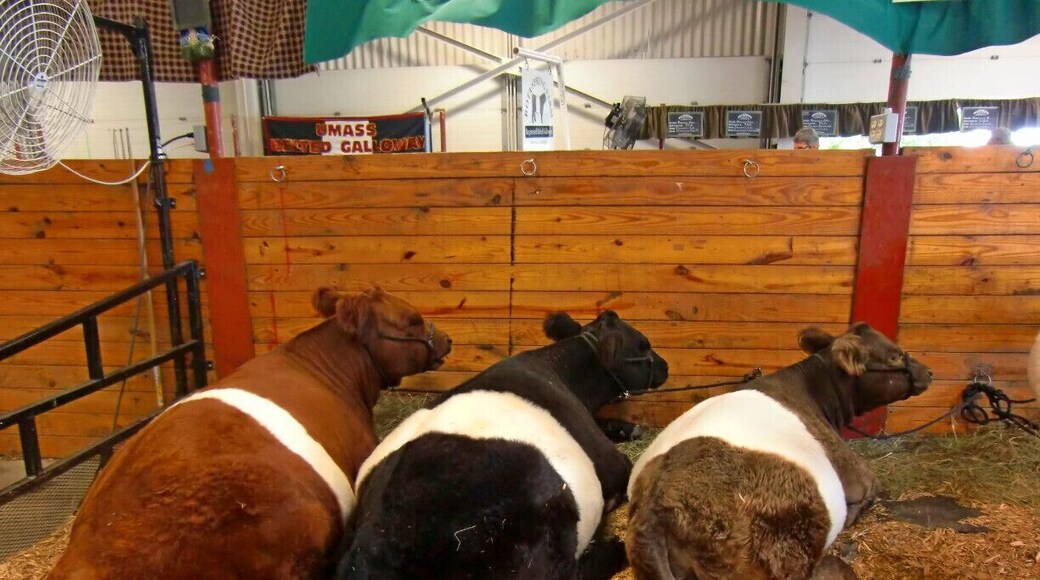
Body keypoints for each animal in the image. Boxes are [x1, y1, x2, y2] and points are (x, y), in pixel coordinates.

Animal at [338, 310, 669, 580]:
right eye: (643, 344)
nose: (665, 367)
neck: (560, 373)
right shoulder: (610, 460)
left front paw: (628, 427)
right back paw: (614, 548)